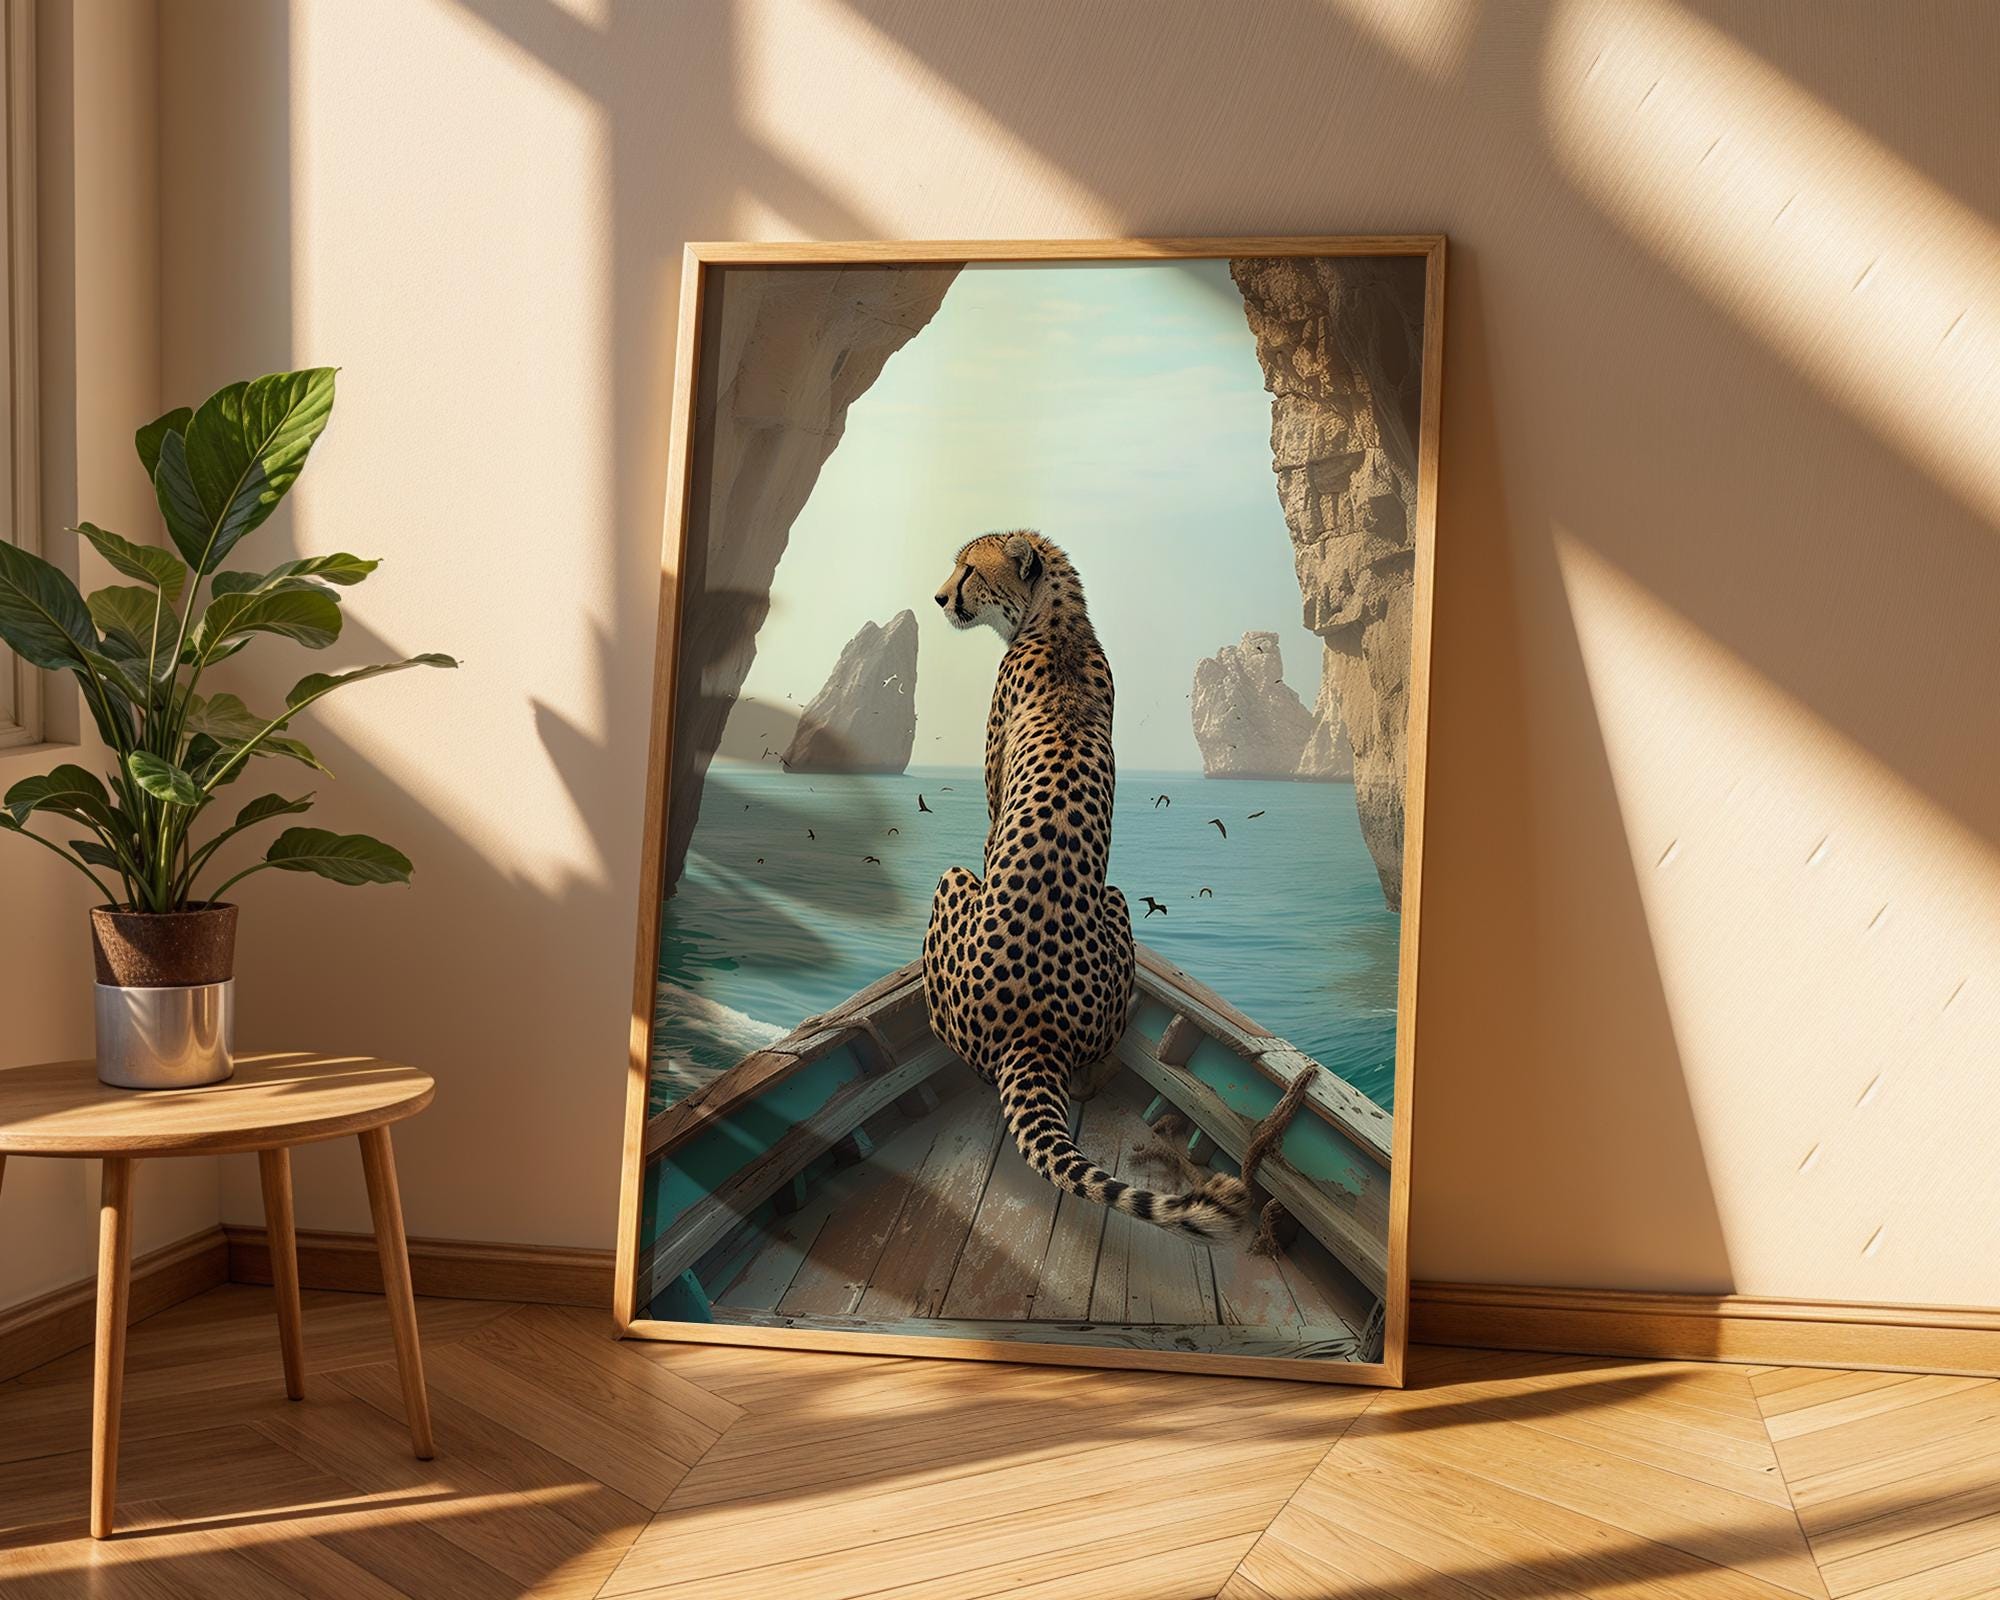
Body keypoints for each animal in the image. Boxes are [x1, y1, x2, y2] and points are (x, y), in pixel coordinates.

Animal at [922, 530, 1248, 1242]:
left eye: (968, 569)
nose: (938, 598)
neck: (1057, 623)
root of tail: (1034, 1030)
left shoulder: (991, 806)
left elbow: (986, 831)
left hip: (959, 888)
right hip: (1116, 903)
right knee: (1094, 1067)